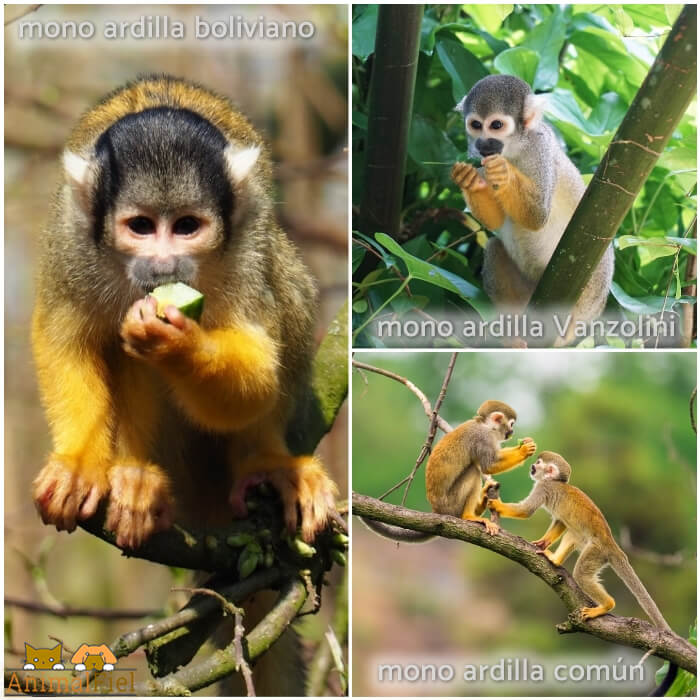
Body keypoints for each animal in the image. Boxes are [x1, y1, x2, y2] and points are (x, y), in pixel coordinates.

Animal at [31, 76, 338, 552]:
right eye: (141, 226)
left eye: (186, 226)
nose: (164, 266)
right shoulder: (72, 241)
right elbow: (63, 336)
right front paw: (78, 465)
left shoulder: (245, 246)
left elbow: (258, 373)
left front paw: (177, 345)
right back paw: (137, 476)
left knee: (289, 287)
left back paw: (264, 461)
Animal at [360, 400, 536, 540]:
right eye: (511, 424)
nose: (512, 432)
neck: (485, 426)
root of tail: (437, 511)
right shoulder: (482, 438)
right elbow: (489, 465)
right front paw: (523, 450)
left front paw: (526, 443)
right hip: (452, 503)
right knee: (474, 470)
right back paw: (469, 516)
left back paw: (482, 503)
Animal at [454, 75, 612, 344]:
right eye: (475, 125)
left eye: (496, 125)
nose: (483, 143)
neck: (515, 148)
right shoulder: (485, 161)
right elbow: (496, 221)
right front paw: (469, 181)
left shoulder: (541, 149)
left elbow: (538, 216)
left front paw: (505, 173)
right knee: (494, 247)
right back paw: (513, 336)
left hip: (588, 290)